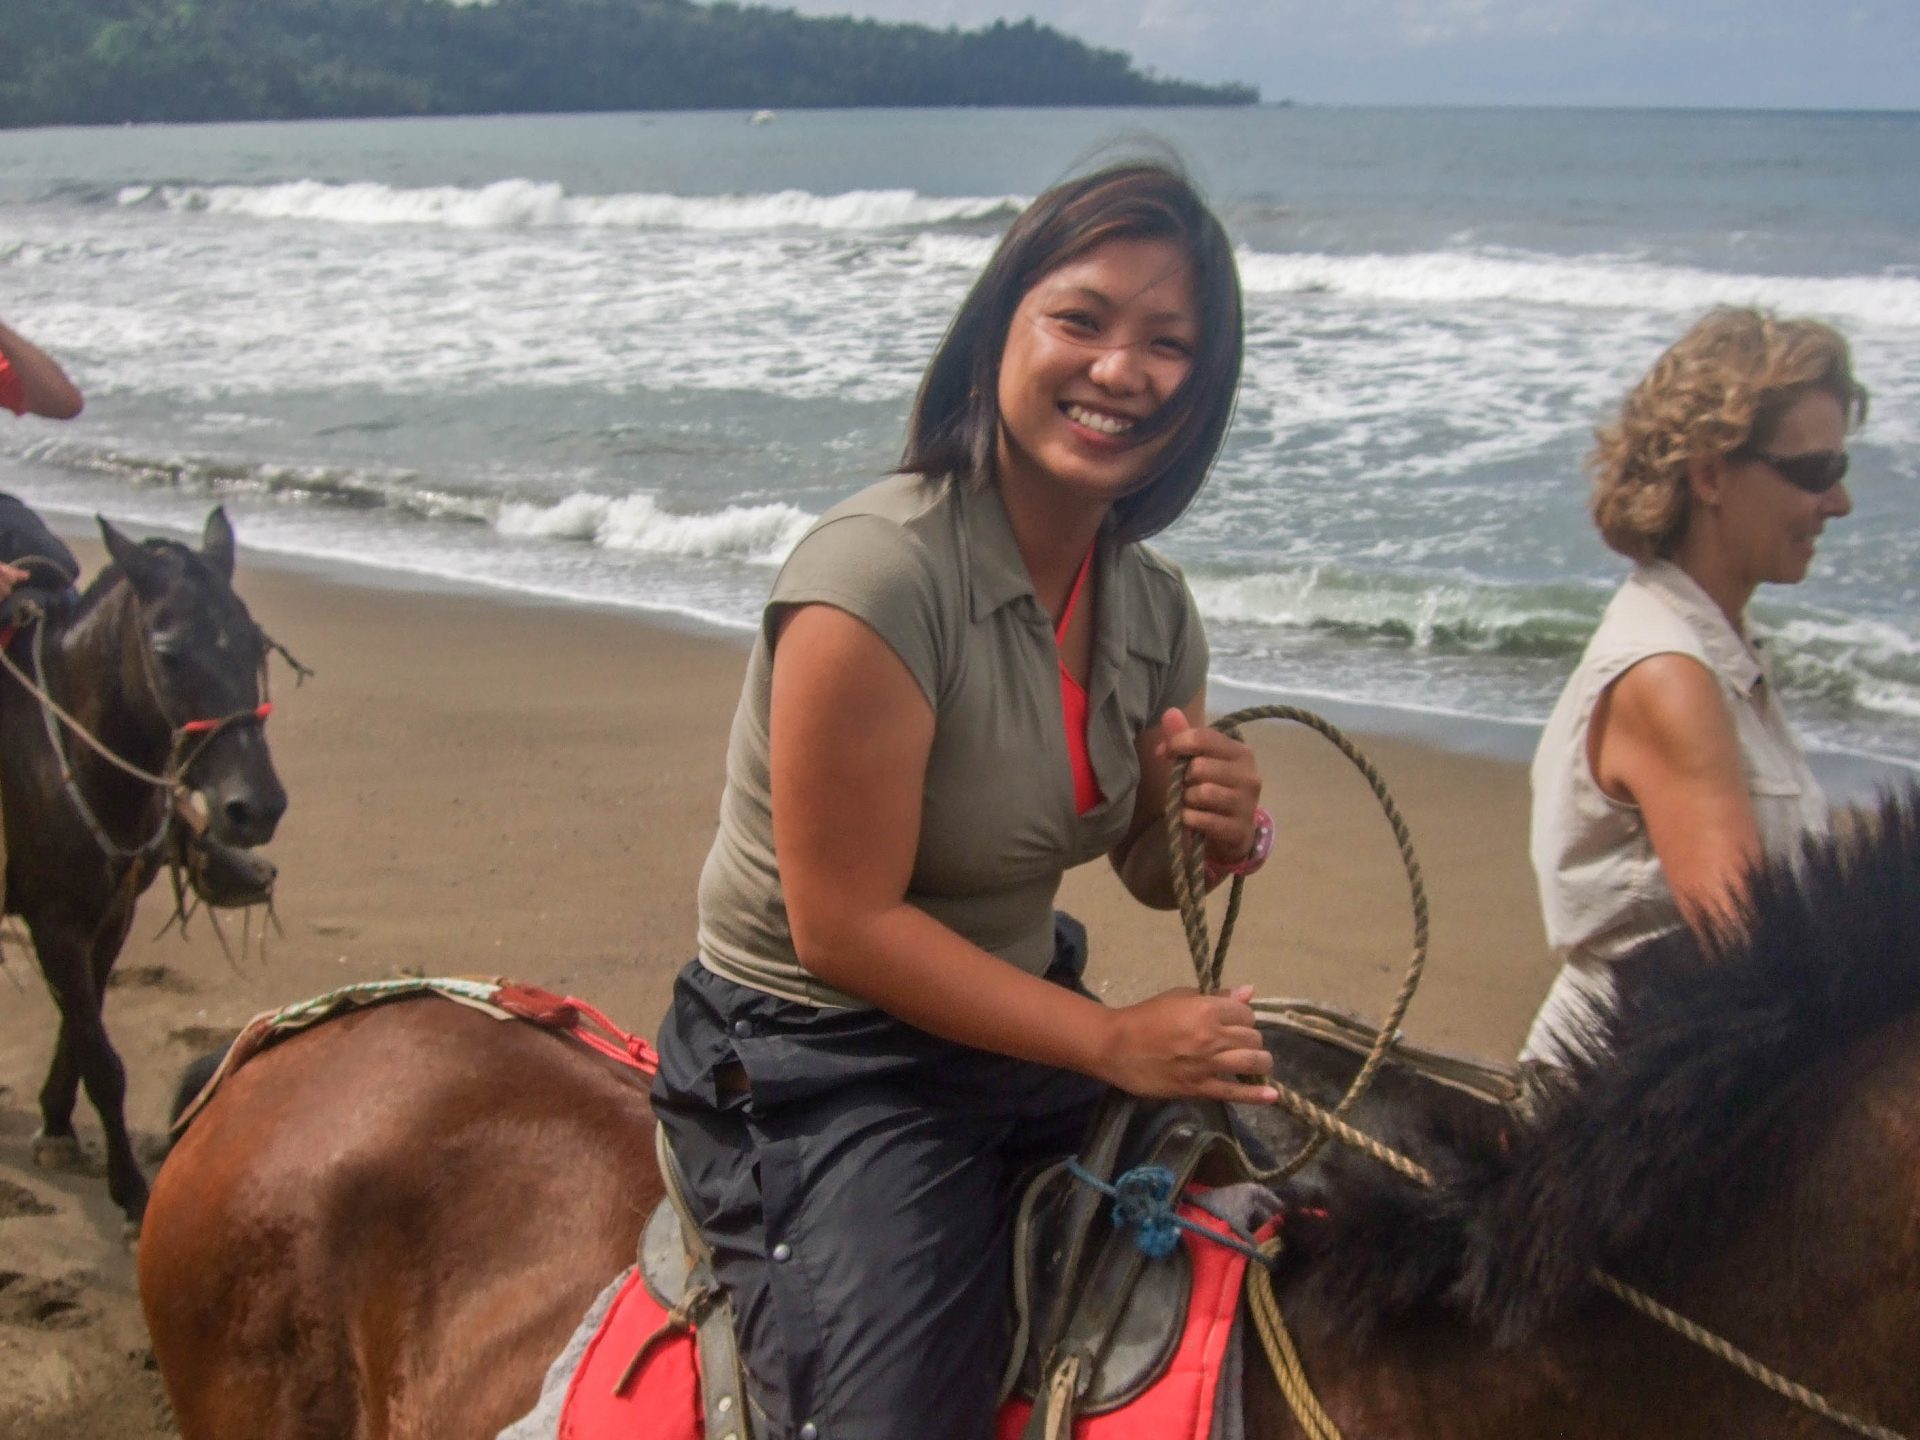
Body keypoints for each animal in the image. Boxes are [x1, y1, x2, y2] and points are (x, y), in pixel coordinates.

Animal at [0, 506, 284, 1228]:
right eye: (168, 652)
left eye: (256, 645)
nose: (256, 808)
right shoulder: (53, 920)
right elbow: (103, 1061)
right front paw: (130, 1191)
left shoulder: (110, 914)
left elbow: (82, 1026)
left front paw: (56, 1126)